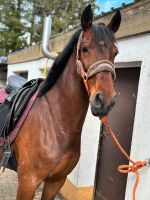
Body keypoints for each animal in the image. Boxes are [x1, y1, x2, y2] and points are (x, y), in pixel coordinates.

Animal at [12, 4, 122, 200]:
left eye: (115, 52)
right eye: (84, 48)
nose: (105, 100)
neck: (54, 124)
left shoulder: (56, 181)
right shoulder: (27, 183)